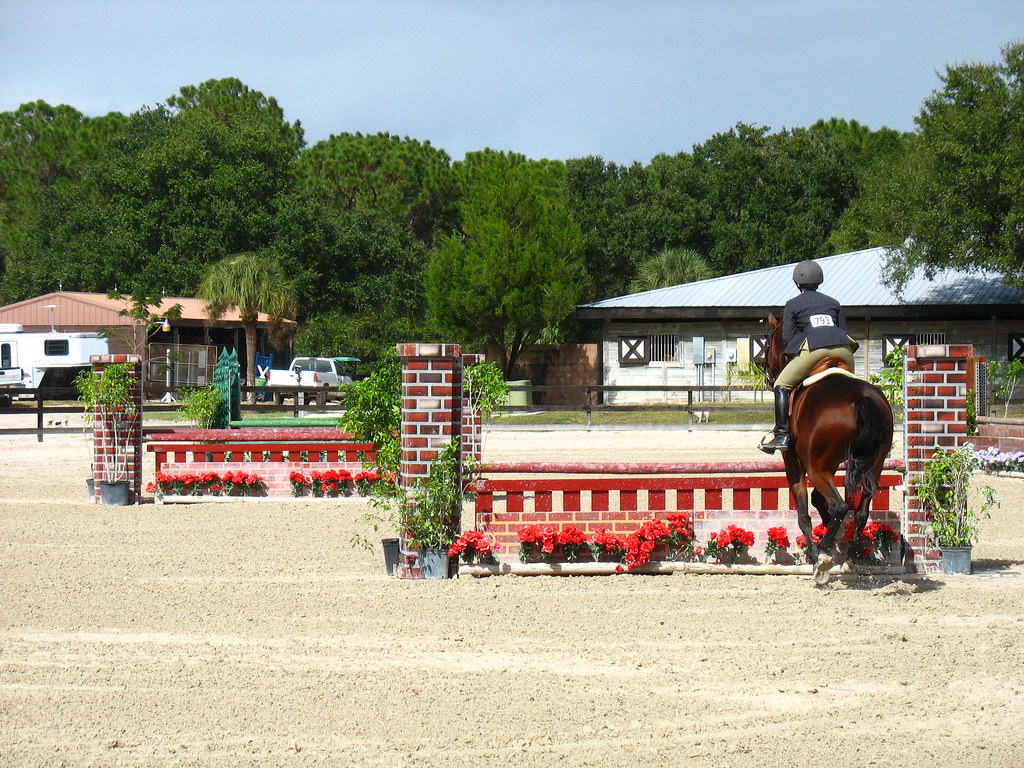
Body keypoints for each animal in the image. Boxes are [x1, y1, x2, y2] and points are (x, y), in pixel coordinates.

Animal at [763, 314, 894, 584]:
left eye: (767, 345)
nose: (769, 378)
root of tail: (860, 398)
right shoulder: (830, 465)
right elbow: (817, 499)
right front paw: (834, 534)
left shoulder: (794, 462)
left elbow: (804, 513)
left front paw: (816, 555)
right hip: (872, 466)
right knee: (861, 510)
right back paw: (853, 555)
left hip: (816, 468)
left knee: (840, 506)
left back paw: (823, 556)